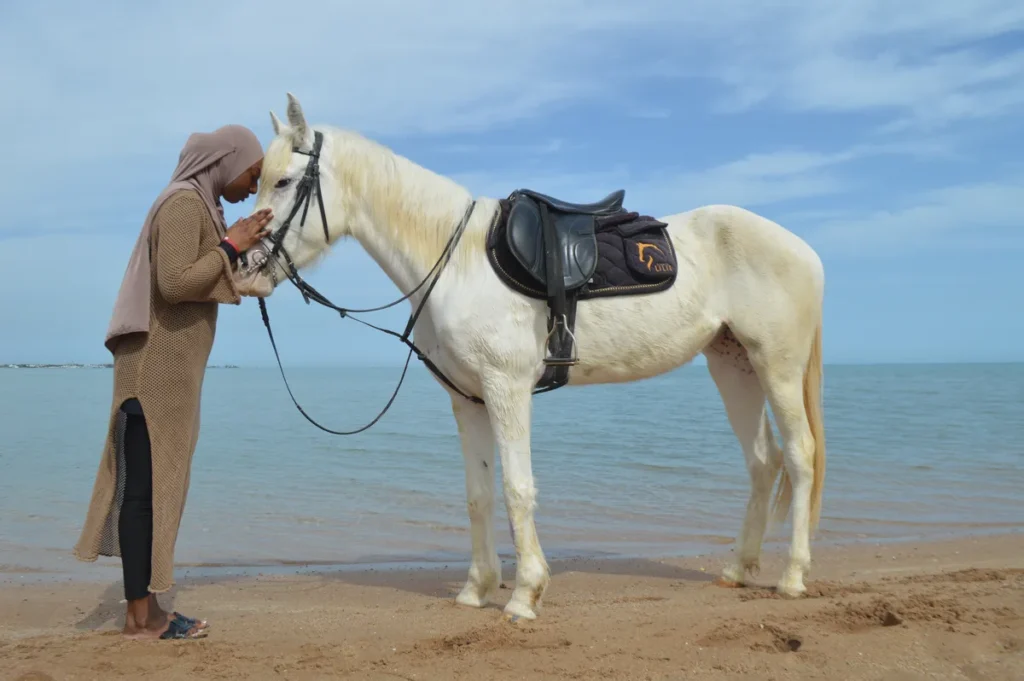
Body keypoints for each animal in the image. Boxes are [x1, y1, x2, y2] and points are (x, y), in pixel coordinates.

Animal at [237, 93, 827, 622]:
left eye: (284, 182)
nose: (245, 266)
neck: (458, 260)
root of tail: (803, 250)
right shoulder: (468, 399)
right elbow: (478, 494)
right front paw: (477, 589)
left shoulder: (507, 388)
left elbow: (517, 489)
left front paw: (524, 595)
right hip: (733, 365)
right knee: (763, 462)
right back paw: (738, 569)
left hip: (776, 365)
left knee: (800, 456)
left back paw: (793, 575)